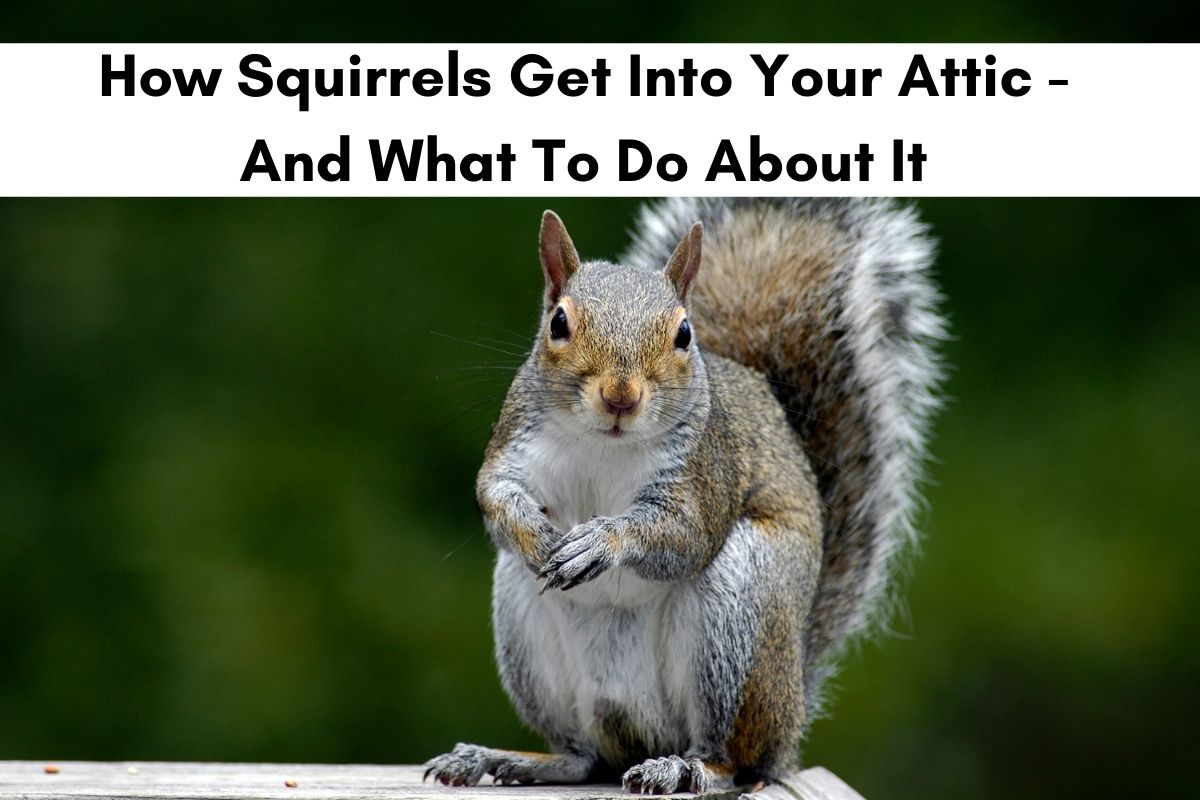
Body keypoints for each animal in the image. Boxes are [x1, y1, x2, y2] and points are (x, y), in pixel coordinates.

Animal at [424, 198, 945, 793]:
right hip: (526, 630)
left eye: (683, 334)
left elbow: (684, 533)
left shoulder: (705, 473)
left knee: (734, 758)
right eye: (558, 322)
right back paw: (506, 759)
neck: (605, 444)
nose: (620, 396)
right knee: (582, 757)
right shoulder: (517, 443)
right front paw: (535, 534)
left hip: (739, 616)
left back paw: (685, 766)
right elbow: (496, 493)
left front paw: (601, 542)